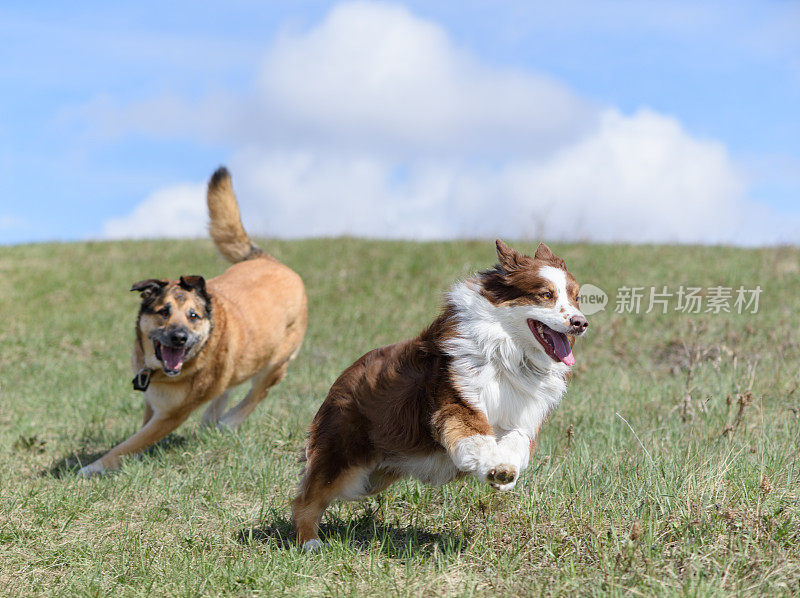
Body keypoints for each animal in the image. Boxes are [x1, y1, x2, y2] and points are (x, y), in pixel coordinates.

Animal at [78, 168, 308, 478]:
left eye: (193, 316)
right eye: (163, 312)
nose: (179, 337)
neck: (160, 372)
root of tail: (271, 261)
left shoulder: (172, 414)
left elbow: (130, 443)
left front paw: (93, 468)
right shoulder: (153, 402)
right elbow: (139, 434)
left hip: (277, 360)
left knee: (259, 390)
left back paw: (229, 421)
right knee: (230, 383)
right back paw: (213, 417)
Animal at [292, 239, 588, 552]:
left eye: (576, 298)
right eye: (546, 294)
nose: (580, 323)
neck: (509, 354)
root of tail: (343, 376)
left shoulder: (523, 416)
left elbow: (517, 441)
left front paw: (505, 471)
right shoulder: (456, 398)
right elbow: (475, 433)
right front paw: (490, 465)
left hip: (372, 478)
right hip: (345, 455)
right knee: (308, 497)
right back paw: (310, 542)